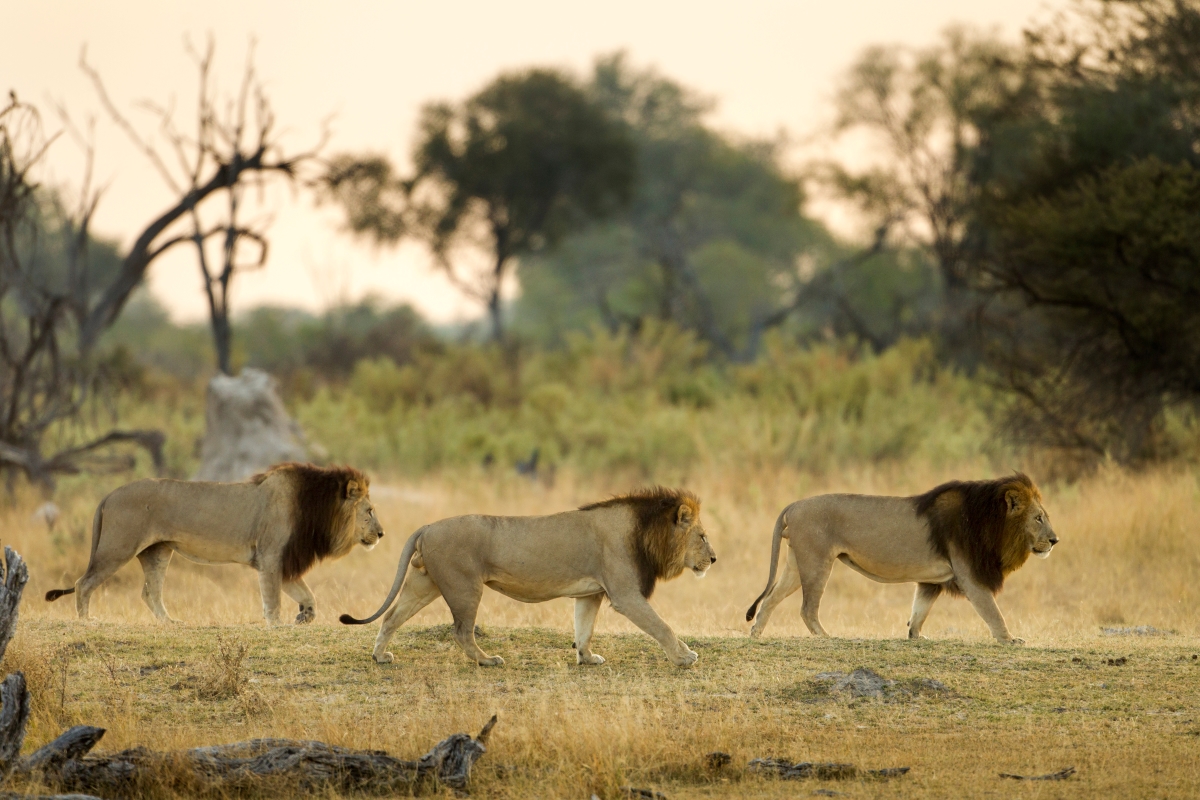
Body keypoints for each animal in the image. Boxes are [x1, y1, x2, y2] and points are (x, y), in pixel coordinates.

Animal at [44, 462, 381, 623]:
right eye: (370, 511)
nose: (381, 534)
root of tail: (109, 495)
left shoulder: (279, 561)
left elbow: (308, 595)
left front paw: (305, 616)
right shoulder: (272, 558)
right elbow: (273, 602)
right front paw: (279, 625)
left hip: (157, 552)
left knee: (149, 592)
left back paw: (171, 624)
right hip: (118, 548)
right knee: (84, 583)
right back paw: (87, 621)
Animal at [340, 489, 710, 671]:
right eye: (703, 536)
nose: (715, 558)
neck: (646, 531)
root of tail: (428, 526)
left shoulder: (591, 593)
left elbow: (584, 629)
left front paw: (587, 659)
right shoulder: (625, 594)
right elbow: (662, 626)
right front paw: (684, 658)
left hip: (424, 583)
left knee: (391, 617)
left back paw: (380, 657)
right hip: (464, 586)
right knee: (461, 631)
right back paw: (488, 661)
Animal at [744, 474, 1056, 642]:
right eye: (1039, 518)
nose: (1055, 541)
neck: (991, 523)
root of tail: (794, 505)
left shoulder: (932, 581)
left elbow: (920, 610)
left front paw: (915, 636)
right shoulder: (970, 576)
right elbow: (993, 611)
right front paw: (1010, 639)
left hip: (797, 565)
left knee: (770, 599)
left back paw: (756, 635)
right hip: (817, 562)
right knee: (807, 608)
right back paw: (827, 637)